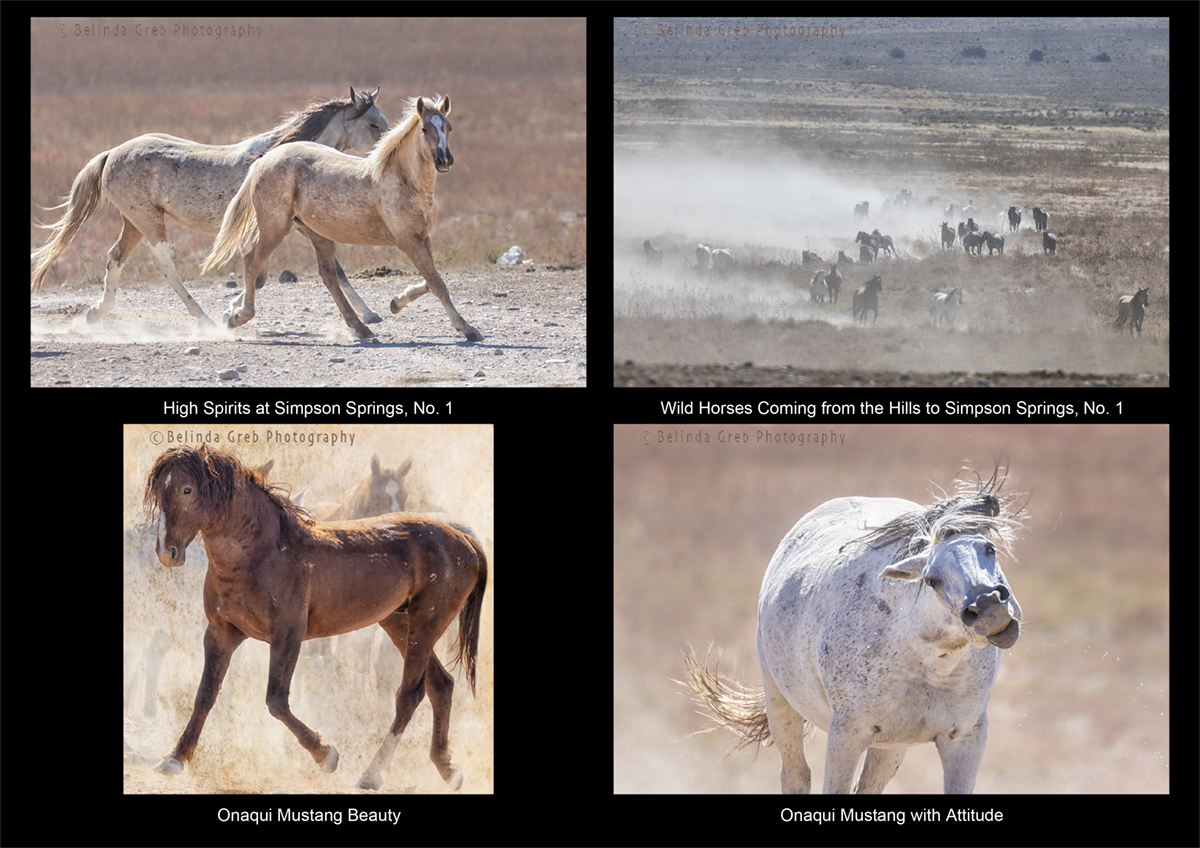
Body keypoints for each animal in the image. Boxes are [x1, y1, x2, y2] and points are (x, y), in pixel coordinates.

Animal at [31, 86, 388, 326]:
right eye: (373, 124)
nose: (385, 154)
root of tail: (112, 153)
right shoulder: (290, 225)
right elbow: (324, 269)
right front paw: (233, 311)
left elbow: (271, 273)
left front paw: (370, 314)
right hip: (148, 221)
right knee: (165, 264)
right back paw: (201, 317)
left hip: (134, 222)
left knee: (115, 257)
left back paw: (96, 312)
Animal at [144, 441, 487, 791]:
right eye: (158, 491)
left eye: (187, 489)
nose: (167, 552)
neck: (262, 553)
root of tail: (463, 539)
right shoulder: (220, 633)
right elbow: (205, 695)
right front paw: (175, 758)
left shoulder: (287, 636)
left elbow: (276, 700)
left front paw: (326, 755)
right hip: (400, 623)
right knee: (441, 686)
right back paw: (448, 769)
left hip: (426, 624)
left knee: (410, 695)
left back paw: (372, 774)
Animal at [204, 95, 480, 340]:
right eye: (424, 128)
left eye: (448, 127)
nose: (444, 160)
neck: (404, 181)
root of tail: (264, 161)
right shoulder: (408, 241)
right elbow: (436, 282)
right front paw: (467, 329)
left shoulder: (423, 238)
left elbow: (429, 280)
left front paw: (396, 303)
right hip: (275, 229)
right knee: (252, 263)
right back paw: (237, 317)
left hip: (317, 234)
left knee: (328, 277)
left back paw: (361, 327)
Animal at [686, 474, 1022, 791]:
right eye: (931, 580)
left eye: (989, 548)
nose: (989, 607)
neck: (925, 663)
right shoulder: (846, 734)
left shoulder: (965, 739)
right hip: (780, 703)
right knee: (795, 775)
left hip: (892, 746)